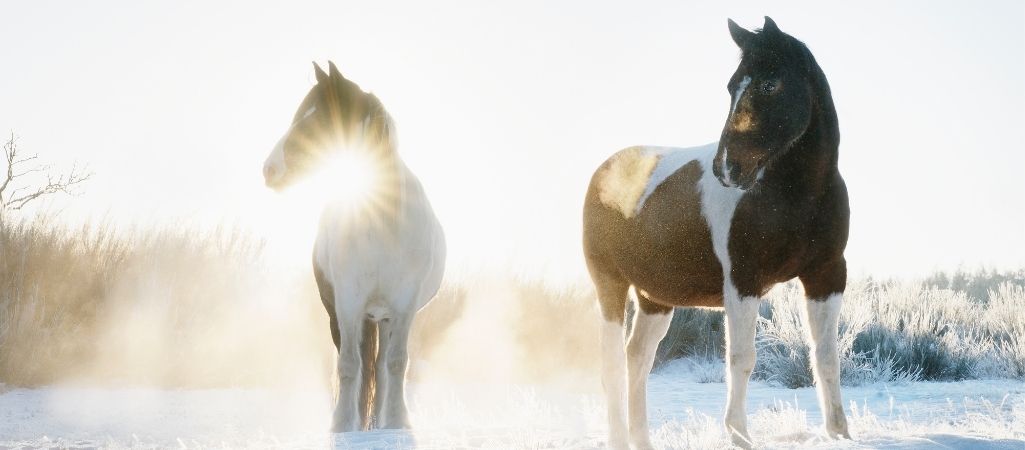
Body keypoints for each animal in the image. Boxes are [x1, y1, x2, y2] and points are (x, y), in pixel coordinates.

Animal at [260, 61, 444, 432]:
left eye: (316, 117)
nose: (269, 170)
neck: (381, 222)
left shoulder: (404, 304)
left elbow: (396, 364)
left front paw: (397, 422)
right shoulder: (347, 301)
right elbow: (348, 366)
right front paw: (343, 426)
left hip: (384, 316)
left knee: (382, 369)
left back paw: (377, 422)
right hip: (353, 313)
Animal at [582, 16, 852, 446]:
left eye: (769, 84)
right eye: (731, 86)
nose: (727, 168)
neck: (796, 195)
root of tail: (604, 171)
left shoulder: (827, 275)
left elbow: (826, 355)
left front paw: (839, 433)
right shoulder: (743, 280)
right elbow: (742, 359)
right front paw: (739, 435)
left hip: (655, 298)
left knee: (637, 359)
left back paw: (643, 440)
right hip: (610, 285)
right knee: (612, 366)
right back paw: (620, 440)